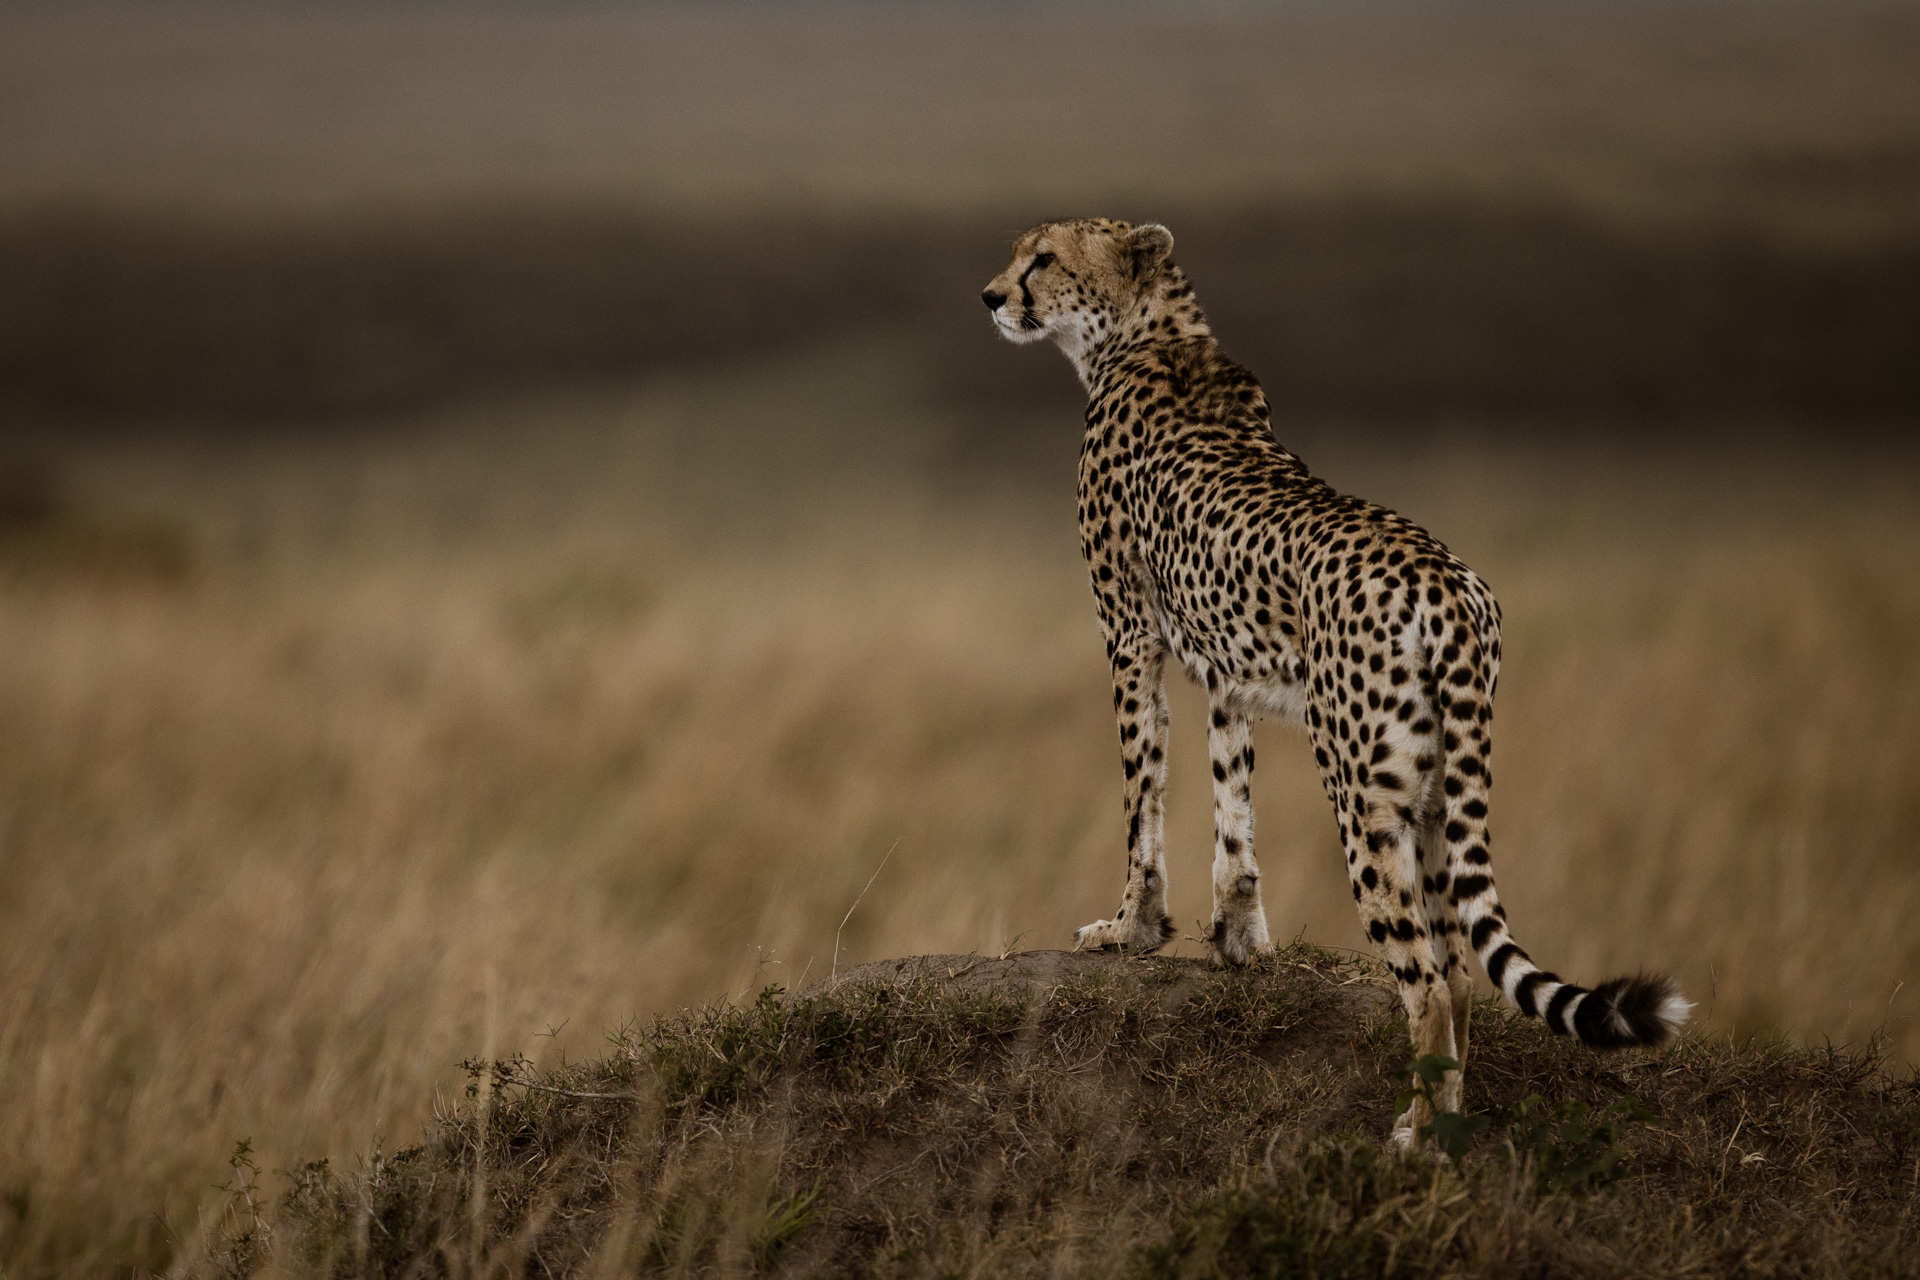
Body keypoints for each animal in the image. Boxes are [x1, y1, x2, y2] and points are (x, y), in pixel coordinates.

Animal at [983, 214, 1689, 1143]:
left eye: (1044, 259)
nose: (991, 296)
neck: (1147, 336)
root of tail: (1449, 587)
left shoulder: (1128, 633)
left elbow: (1143, 795)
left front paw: (1131, 928)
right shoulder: (1228, 668)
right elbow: (1231, 800)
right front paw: (1238, 937)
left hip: (1365, 792)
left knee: (1425, 979)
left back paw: (1411, 1142)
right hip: (1435, 793)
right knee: (1459, 968)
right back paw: (1447, 1126)